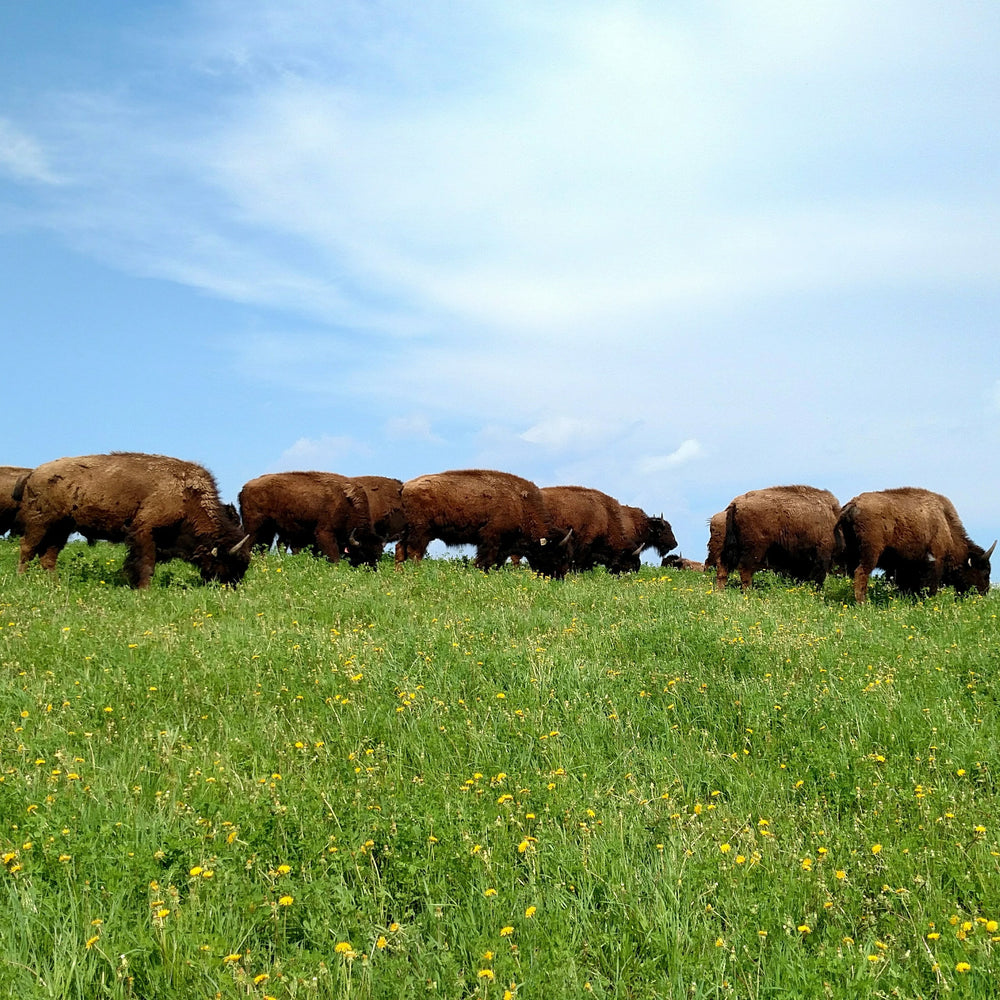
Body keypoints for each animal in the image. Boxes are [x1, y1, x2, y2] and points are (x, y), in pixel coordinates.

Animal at [14, 453, 250, 588]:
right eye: (228, 562)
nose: (231, 586)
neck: (186, 494)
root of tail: (34, 473)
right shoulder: (145, 530)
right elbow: (145, 563)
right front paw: (144, 589)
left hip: (61, 529)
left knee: (48, 556)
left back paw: (54, 583)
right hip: (40, 523)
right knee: (27, 548)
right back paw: (22, 579)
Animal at [238, 471, 380, 566]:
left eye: (378, 553)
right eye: (362, 552)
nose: (372, 568)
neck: (348, 503)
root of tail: (245, 488)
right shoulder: (325, 533)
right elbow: (334, 556)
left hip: (270, 530)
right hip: (255, 527)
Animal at [396, 469, 553, 571]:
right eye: (547, 553)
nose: (549, 574)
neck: (521, 504)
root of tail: (405, 487)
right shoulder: (491, 538)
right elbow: (486, 558)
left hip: (411, 532)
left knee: (400, 548)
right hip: (421, 532)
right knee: (414, 552)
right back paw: (418, 571)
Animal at [837, 487, 995, 603]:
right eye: (984, 572)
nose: (984, 593)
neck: (946, 526)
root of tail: (853, 505)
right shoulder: (934, 561)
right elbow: (930, 585)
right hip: (870, 554)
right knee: (861, 573)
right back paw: (862, 602)